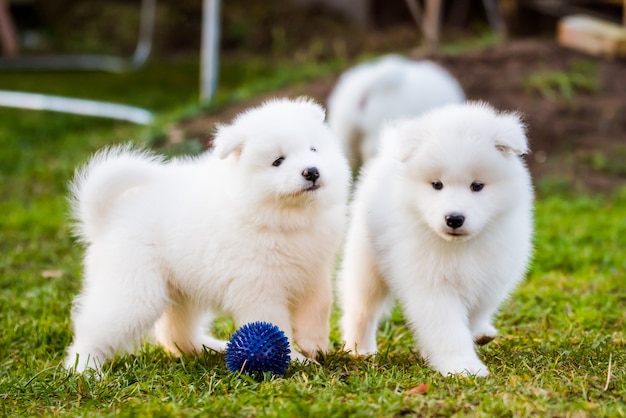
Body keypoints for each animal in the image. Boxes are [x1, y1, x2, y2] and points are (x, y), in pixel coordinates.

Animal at [64, 97, 352, 372]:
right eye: (277, 161)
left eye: (313, 149)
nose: (311, 171)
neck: (286, 218)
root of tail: (106, 219)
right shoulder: (260, 287)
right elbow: (274, 326)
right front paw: (297, 361)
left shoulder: (315, 273)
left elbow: (318, 308)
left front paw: (316, 346)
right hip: (135, 291)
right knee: (94, 330)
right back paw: (85, 370)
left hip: (181, 293)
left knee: (177, 336)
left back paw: (211, 347)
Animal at [336, 100, 532, 376]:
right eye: (437, 184)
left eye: (477, 186)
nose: (454, 218)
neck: (459, 247)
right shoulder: (431, 285)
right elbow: (447, 328)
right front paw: (463, 367)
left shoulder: (489, 278)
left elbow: (471, 318)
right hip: (366, 263)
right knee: (361, 309)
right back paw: (359, 349)